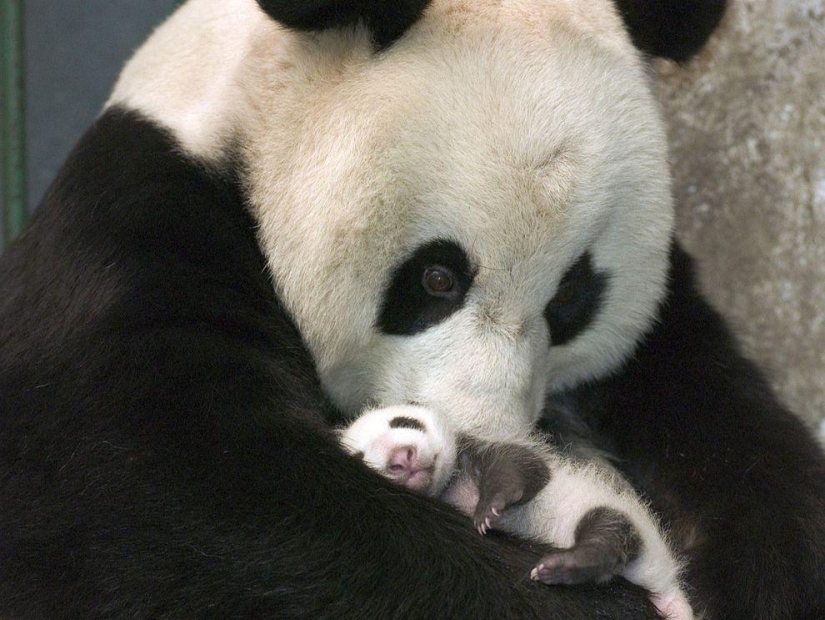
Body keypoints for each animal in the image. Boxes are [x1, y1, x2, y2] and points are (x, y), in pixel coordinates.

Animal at [1, 0, 824, 618]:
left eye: (570, 298)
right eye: (437, 278)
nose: (485, 434)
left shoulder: (664, 334)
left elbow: (740, 450)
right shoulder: (132, 247)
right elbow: (189, 510)